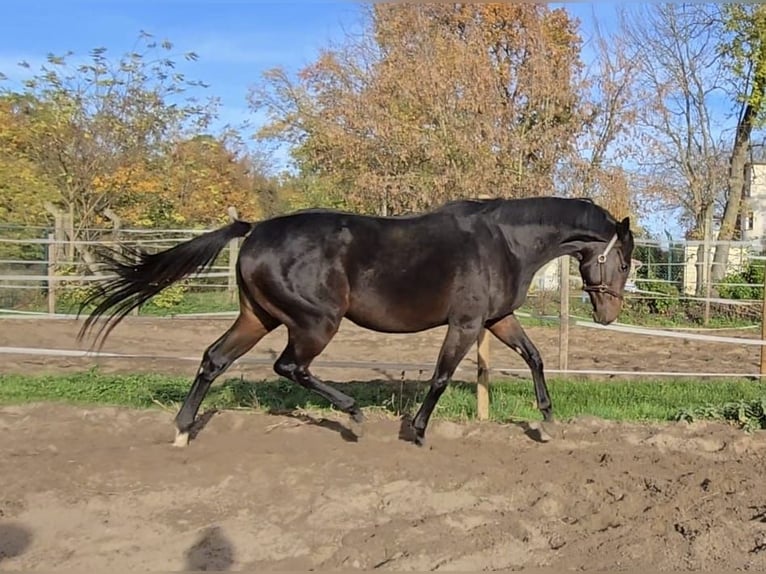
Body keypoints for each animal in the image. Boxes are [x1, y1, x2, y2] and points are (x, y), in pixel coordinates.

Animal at [78, 198, 636, 450]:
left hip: (258, 317)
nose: (608, 315)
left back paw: (182, 429)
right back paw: (353, 415)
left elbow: (535, 357)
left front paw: (547, 422)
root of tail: (254, 230)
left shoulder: (497, 320)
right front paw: (417, 432)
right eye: (625, 260)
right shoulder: (466, 323)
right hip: (315, 322)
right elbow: (440, 376)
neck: (504, 242)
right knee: (290, 367)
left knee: (214, 358)